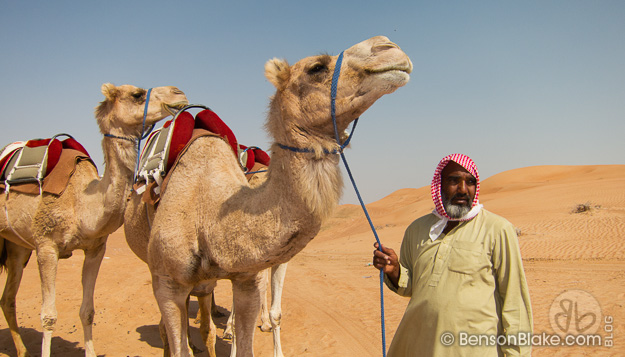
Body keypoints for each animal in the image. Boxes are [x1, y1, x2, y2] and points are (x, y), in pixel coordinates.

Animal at [0, 84, 188, 356]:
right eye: (137, 94)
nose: (178, 93)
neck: (81, 203)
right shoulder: (46, 245)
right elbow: (48, 316)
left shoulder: (95, 248)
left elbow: (87, 311)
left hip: (17, 246)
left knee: (7, 298)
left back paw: (23, 350)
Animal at [145, 34, 410, 356]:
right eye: (316, 67)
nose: (388, 45)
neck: (204, 214)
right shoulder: (167, 283)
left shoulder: (249, 276)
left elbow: (263, 321)